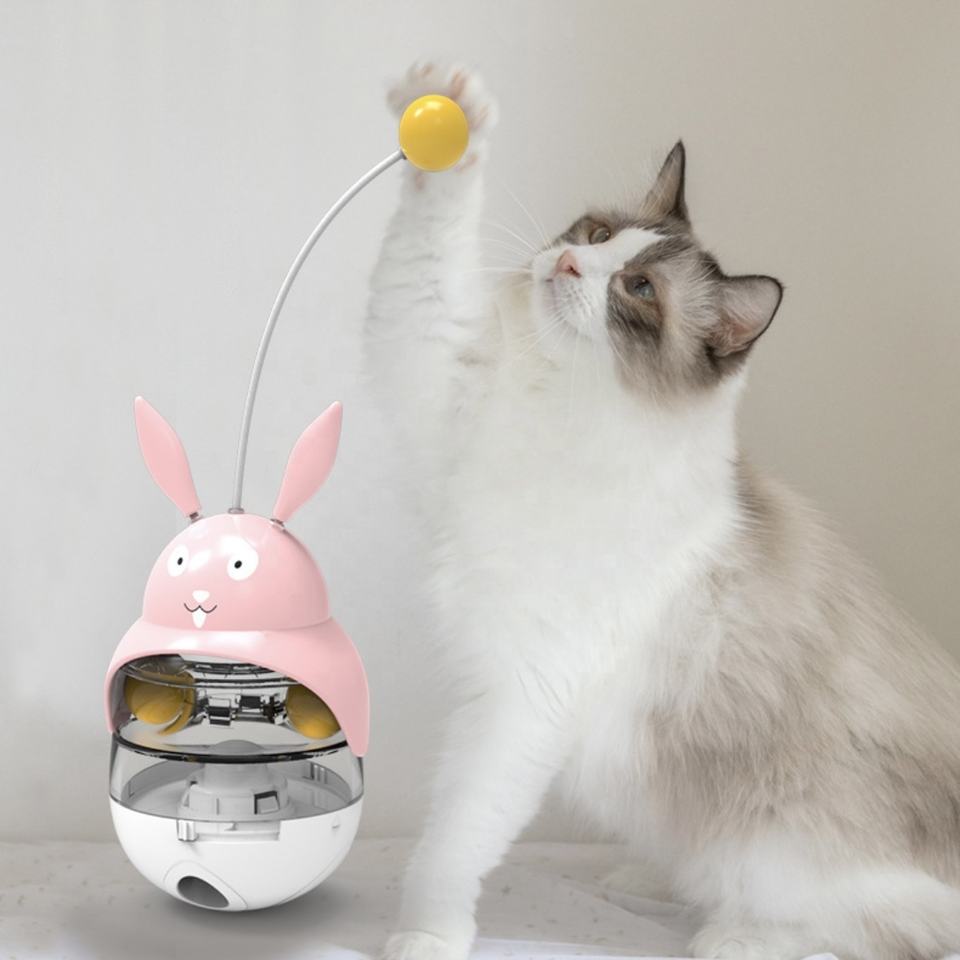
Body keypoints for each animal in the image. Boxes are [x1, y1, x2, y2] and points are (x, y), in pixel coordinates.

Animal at [363, 62, 960, 960]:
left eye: (637, 288)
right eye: (595, 232)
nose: (567, 262)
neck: (563, 405)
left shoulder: (523, 699)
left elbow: (452, 842)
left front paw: (424, 935)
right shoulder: (431, 371)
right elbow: (427, 240)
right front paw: (448, 109)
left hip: (779, 854)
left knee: (877, 929)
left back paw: (730, 935)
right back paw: (646, 881)